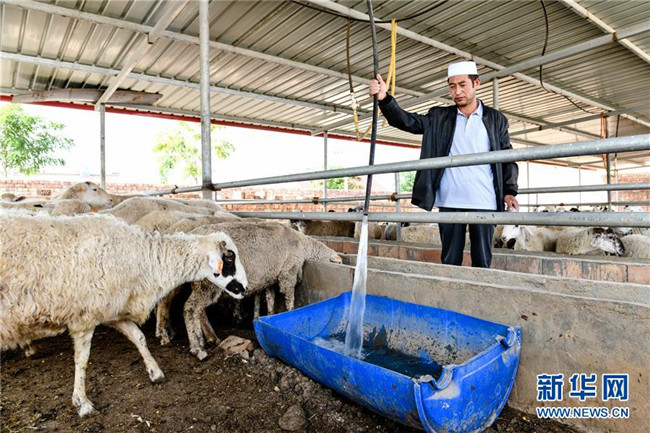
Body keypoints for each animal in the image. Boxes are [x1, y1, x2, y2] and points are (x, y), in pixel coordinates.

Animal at [0, 213, 248, 417]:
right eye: (229, 258)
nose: (245, 288)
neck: (144, 260)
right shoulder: (84, 319)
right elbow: (82, 359)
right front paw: (82, 403)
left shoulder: (114, 312)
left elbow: (139, 338)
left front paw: (155, 372)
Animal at [156, 221, 342, 360]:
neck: (304, 246)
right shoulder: (288, 273)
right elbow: (289, 298)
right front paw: (290, 314)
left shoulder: (270, 278)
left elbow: (270, 299)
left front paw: (269, 317)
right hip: (208, 283)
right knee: (190, 308)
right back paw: (197, 347)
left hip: (200, 283)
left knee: (197, 310)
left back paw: (209, 338)